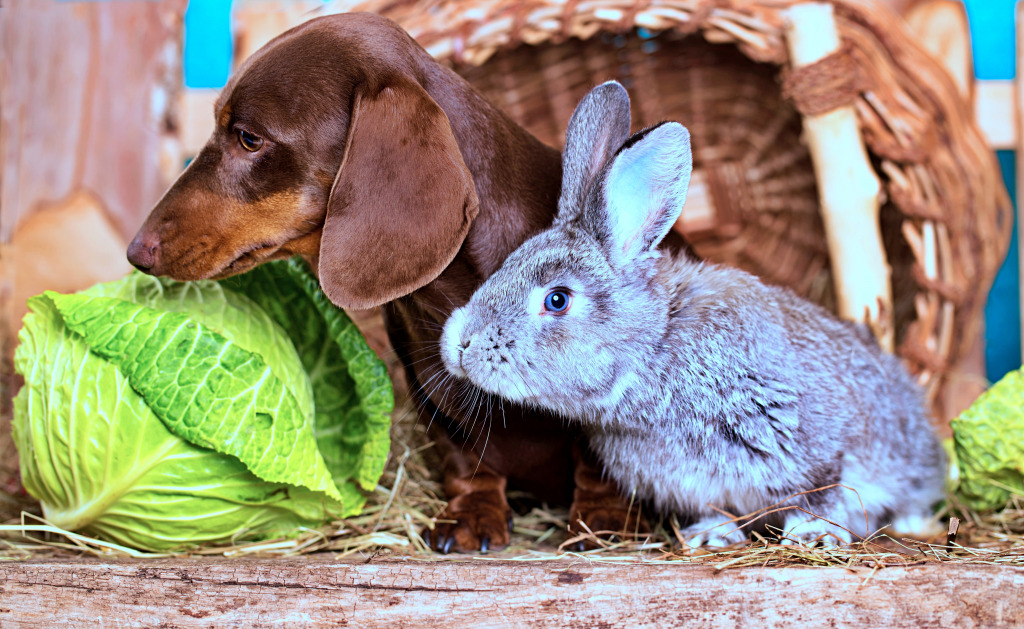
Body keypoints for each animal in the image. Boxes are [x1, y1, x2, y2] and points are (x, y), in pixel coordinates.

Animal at [439, 81, 947, 547]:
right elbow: (715, 509)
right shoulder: (689, 484)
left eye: (557, 299)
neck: (655, 348)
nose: (459, 344)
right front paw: (710, 535)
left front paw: (812, 535)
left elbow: (823, 491)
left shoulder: (811, 440)